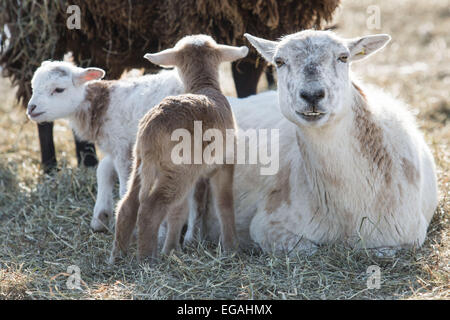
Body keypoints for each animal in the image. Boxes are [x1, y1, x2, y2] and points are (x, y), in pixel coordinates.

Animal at [27, 61, 183, 231]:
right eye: (33, 87)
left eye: (59, 89)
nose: (31, 108)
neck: (102, 104)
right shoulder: (116, 147)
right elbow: (103, 169)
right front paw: (101, 216)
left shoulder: (122, 145)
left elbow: (124, 188)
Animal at [192, 30, 438, 255]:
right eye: (279, 61)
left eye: (344, 57)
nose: (312, 95)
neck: (349, 210)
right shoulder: (267, 224)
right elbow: (310, 249)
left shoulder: (407, 236)